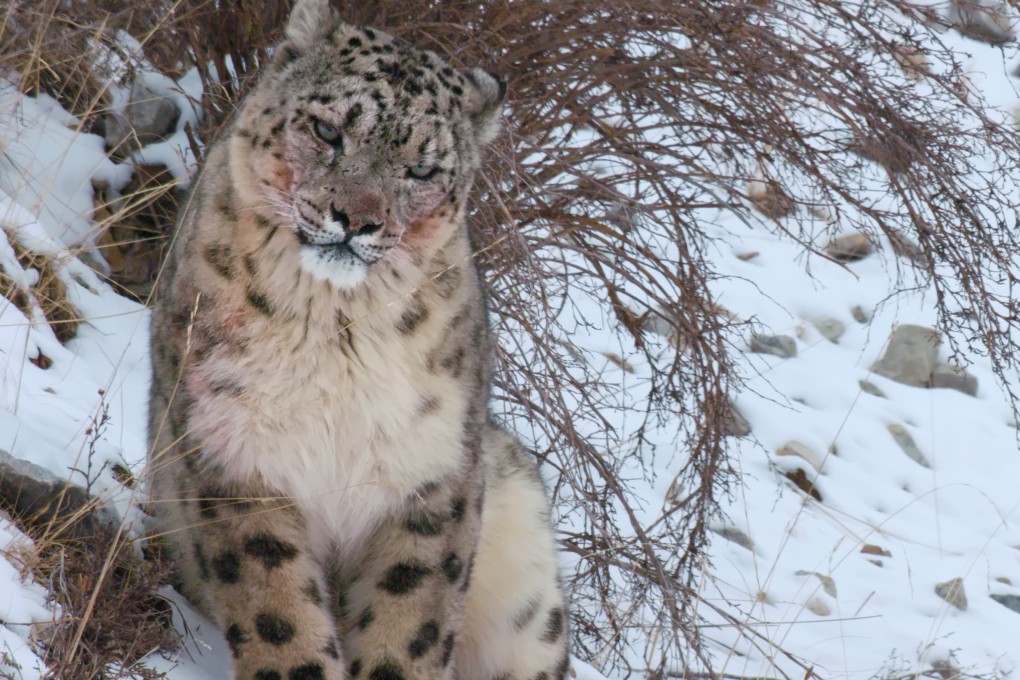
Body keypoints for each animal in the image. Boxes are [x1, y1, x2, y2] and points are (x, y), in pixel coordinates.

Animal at [145, 1, 569, 679]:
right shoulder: (235, 453)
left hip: (527, 592)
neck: (333, 328)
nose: (357, 218)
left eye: (422, 169)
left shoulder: (430, 476)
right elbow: (280, 616)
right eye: (326, 131)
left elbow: (410, 621)